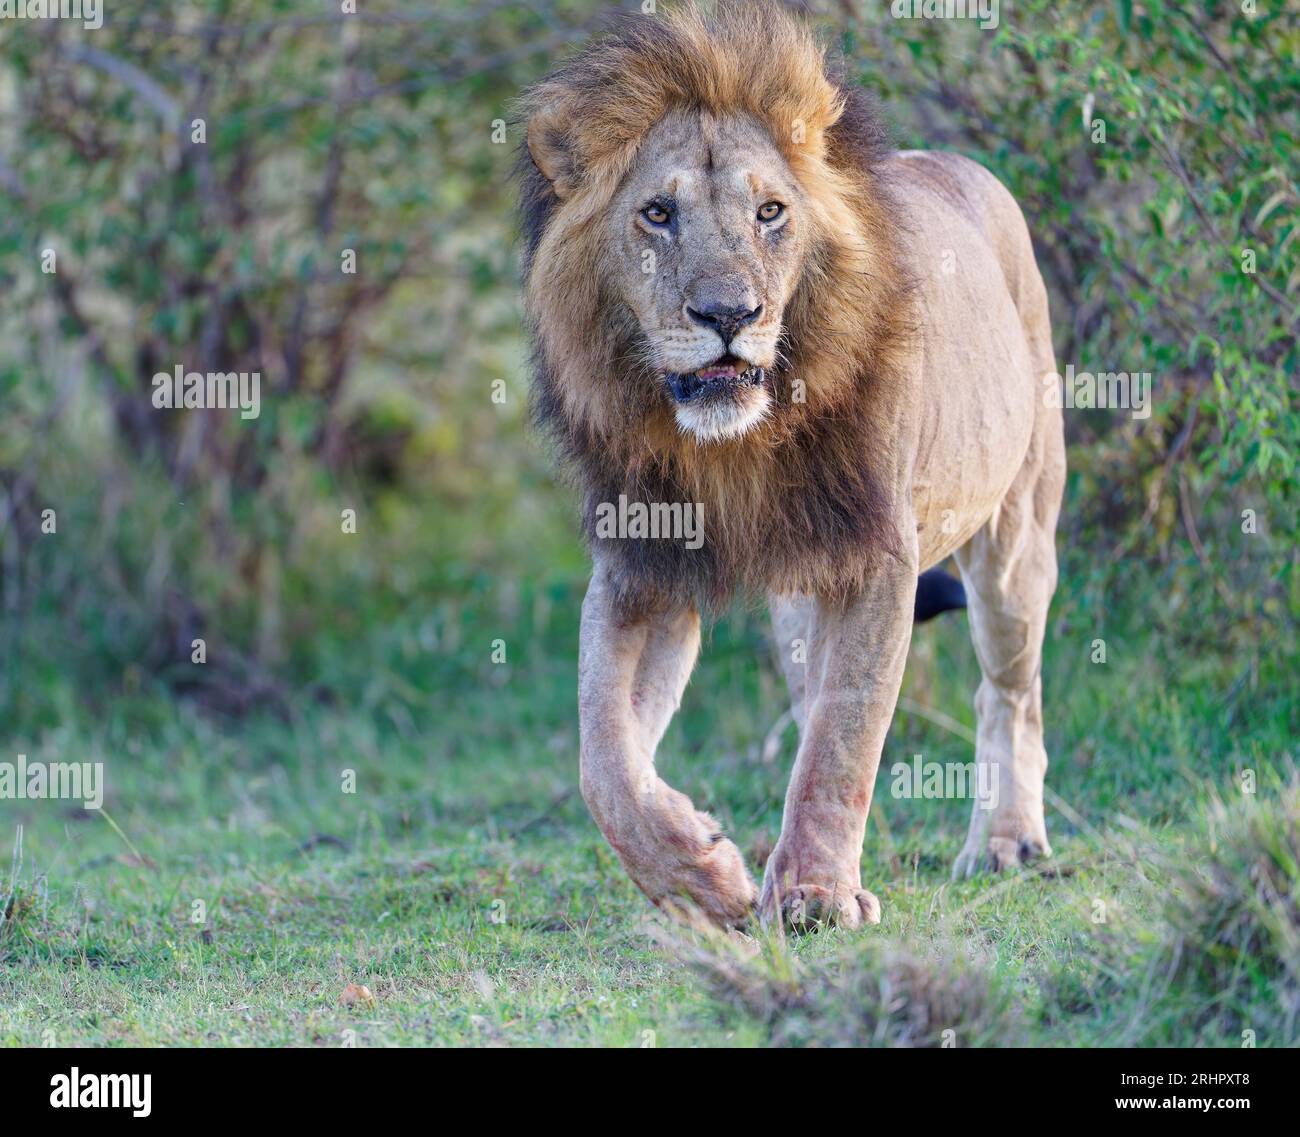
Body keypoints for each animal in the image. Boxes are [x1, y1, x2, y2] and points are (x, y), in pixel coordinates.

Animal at [517, 2, 1066, 935]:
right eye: (656, 213)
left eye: (771, 211)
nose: (729, 314)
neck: (732, 445)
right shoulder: (640, 566)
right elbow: (605, 759)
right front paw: (702, 872)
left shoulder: (879, 557)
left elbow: (844, 738)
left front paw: (813, 895)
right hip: (799, 600)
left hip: (1016, 542)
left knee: (1008, 695)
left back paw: (1005, 841)